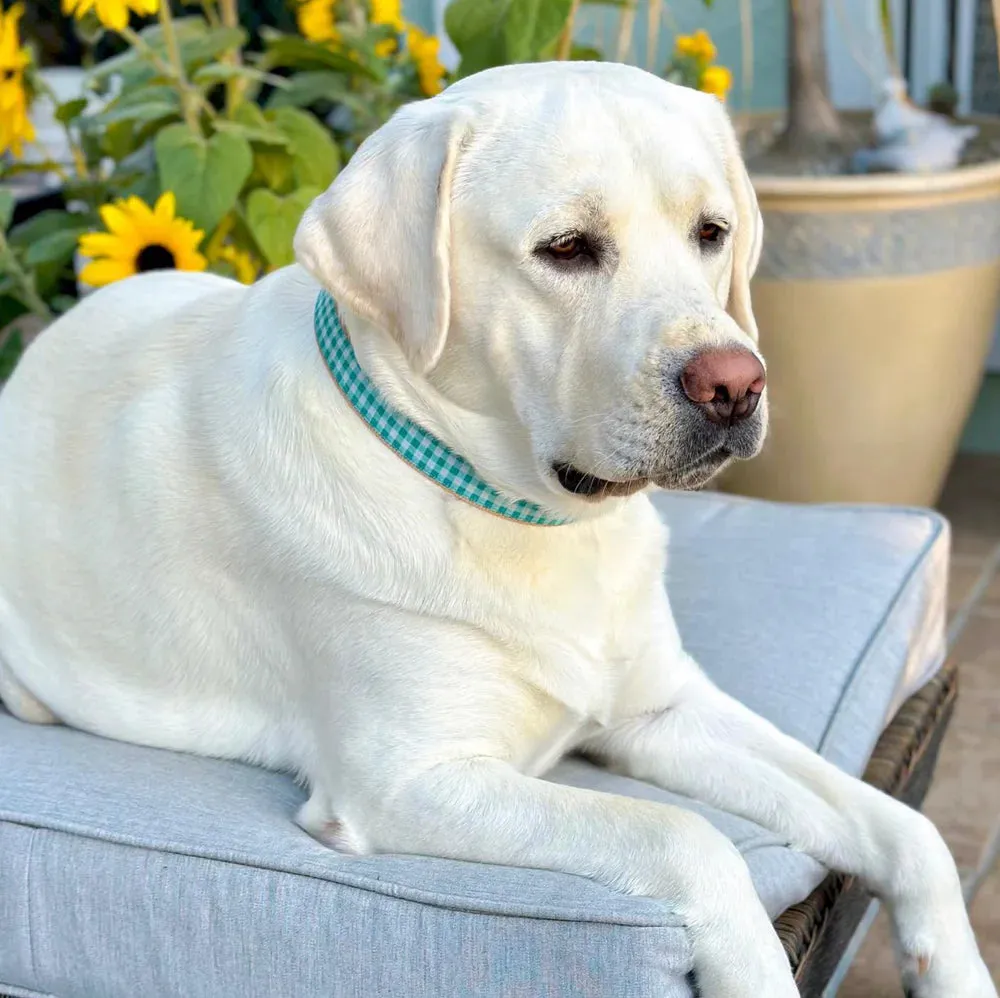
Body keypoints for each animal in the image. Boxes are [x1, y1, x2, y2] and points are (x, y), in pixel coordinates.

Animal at [0, 64, 988, 998]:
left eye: (711, 232)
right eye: (566, 249)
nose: (735, 384)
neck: (535, 521)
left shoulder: (664, 708)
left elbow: (901, 825)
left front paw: (951, 967)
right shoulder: (408, 784)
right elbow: (687, 836)